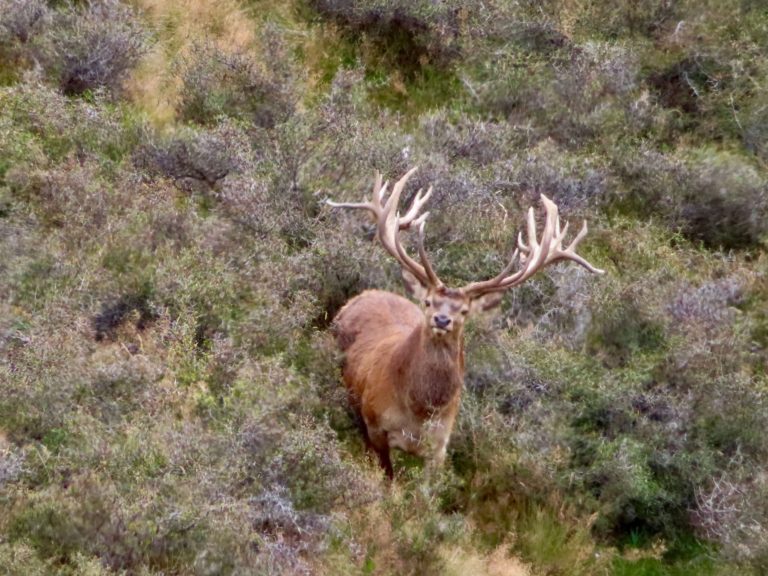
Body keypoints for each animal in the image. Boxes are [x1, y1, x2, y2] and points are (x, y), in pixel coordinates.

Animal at [328, 167, 604, 478]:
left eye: (464, 311)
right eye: (429, 302)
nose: (442, 319)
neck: (419, 411)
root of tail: (364, 294)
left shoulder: (440, 444)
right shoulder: (375, 423)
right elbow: (387, 477)